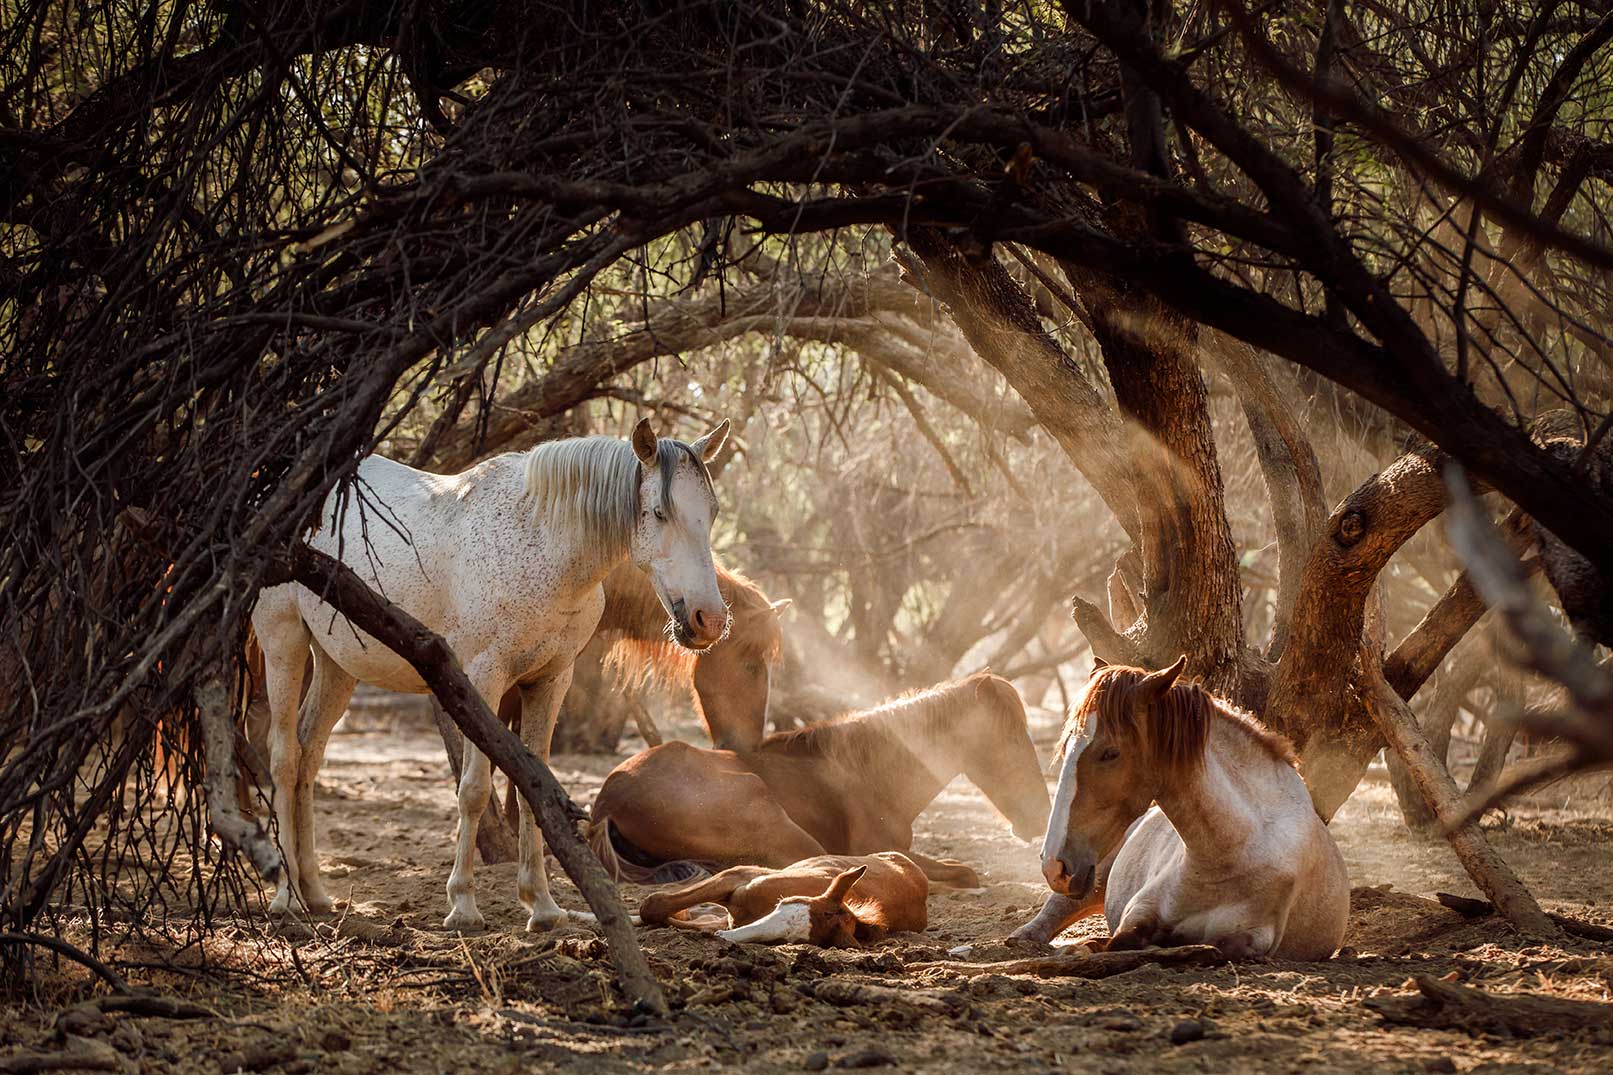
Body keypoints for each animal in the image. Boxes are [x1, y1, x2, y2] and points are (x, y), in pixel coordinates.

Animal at [251, 413, 732, 923]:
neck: (542, 546)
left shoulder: (549, 682)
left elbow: (532, 789)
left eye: (712, 511)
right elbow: (474, 790)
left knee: (309, 755)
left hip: (337, 663)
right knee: (284, 759)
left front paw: (542, 906)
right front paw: (462, 904)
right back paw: (287, 896)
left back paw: (315, 892)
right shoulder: (483, 679)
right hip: (284, 641)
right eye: (660, 513)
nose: (708, 620)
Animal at [635, 852, 929, 942]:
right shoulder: (738, 876)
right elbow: (655, 907)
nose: (726, 938)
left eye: (791, 940)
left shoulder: (739, 877)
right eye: (782, 904)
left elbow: (653, 906)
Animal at [1025, 658, 1354, 955]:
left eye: (1110, 752)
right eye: (1066, 747)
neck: (1230, 852)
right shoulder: (1139, 912)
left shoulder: (1255, 936)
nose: (1054, 866)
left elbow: (1219, 947)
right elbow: (1121, 941)